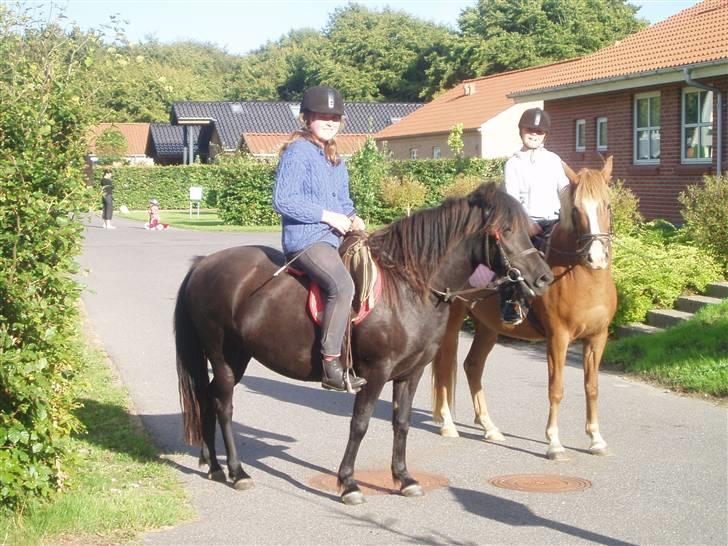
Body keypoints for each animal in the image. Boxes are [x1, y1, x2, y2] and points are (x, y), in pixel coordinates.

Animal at [175, 182, 552, 502]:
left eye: (529, 231)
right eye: (505, 230)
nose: (544, 278)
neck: (409, 288)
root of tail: (203, 264)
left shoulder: (410, 373)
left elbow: (402, 423)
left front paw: (404, 479)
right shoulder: (375, 372)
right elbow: (360, 424)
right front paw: (349, 483)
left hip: (237, 356)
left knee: (207, 398)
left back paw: (212, 465)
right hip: (223, 355)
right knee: (223, 405)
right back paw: (237, 472)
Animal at [432, 158, 616, 460]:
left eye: (608, 205)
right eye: (576, 210)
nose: (596, 257)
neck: (583, 279)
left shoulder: (597, 338)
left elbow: (592, 387)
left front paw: (597, 439)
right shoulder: (558, 338)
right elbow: (556, 388)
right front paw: (554, 444)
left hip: (487, 326)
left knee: (473, 366)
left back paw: (490, 427)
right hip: (452, 322)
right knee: (446, 367)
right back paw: (448, 424)